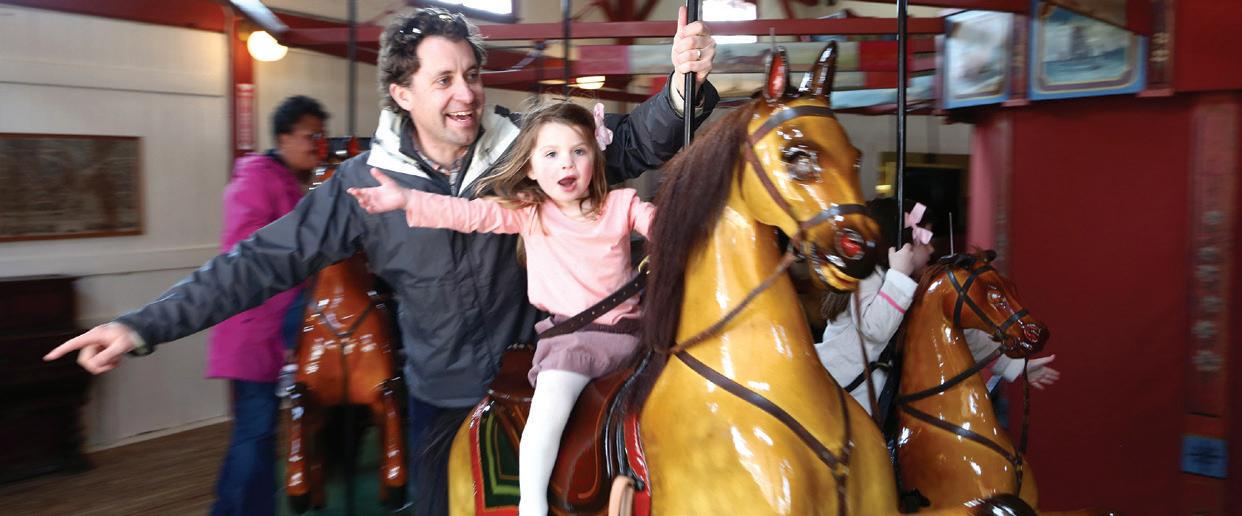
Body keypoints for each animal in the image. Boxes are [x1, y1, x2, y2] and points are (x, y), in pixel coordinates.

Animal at [285, 143, 406, 513]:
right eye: (311, 186)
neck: (340, 311)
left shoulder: (382, 389)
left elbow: (391, 407)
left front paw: (396, 483)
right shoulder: (312, 397)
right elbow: (297, 406)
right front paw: (297, 490)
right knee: (319, 450)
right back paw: (316, 495)